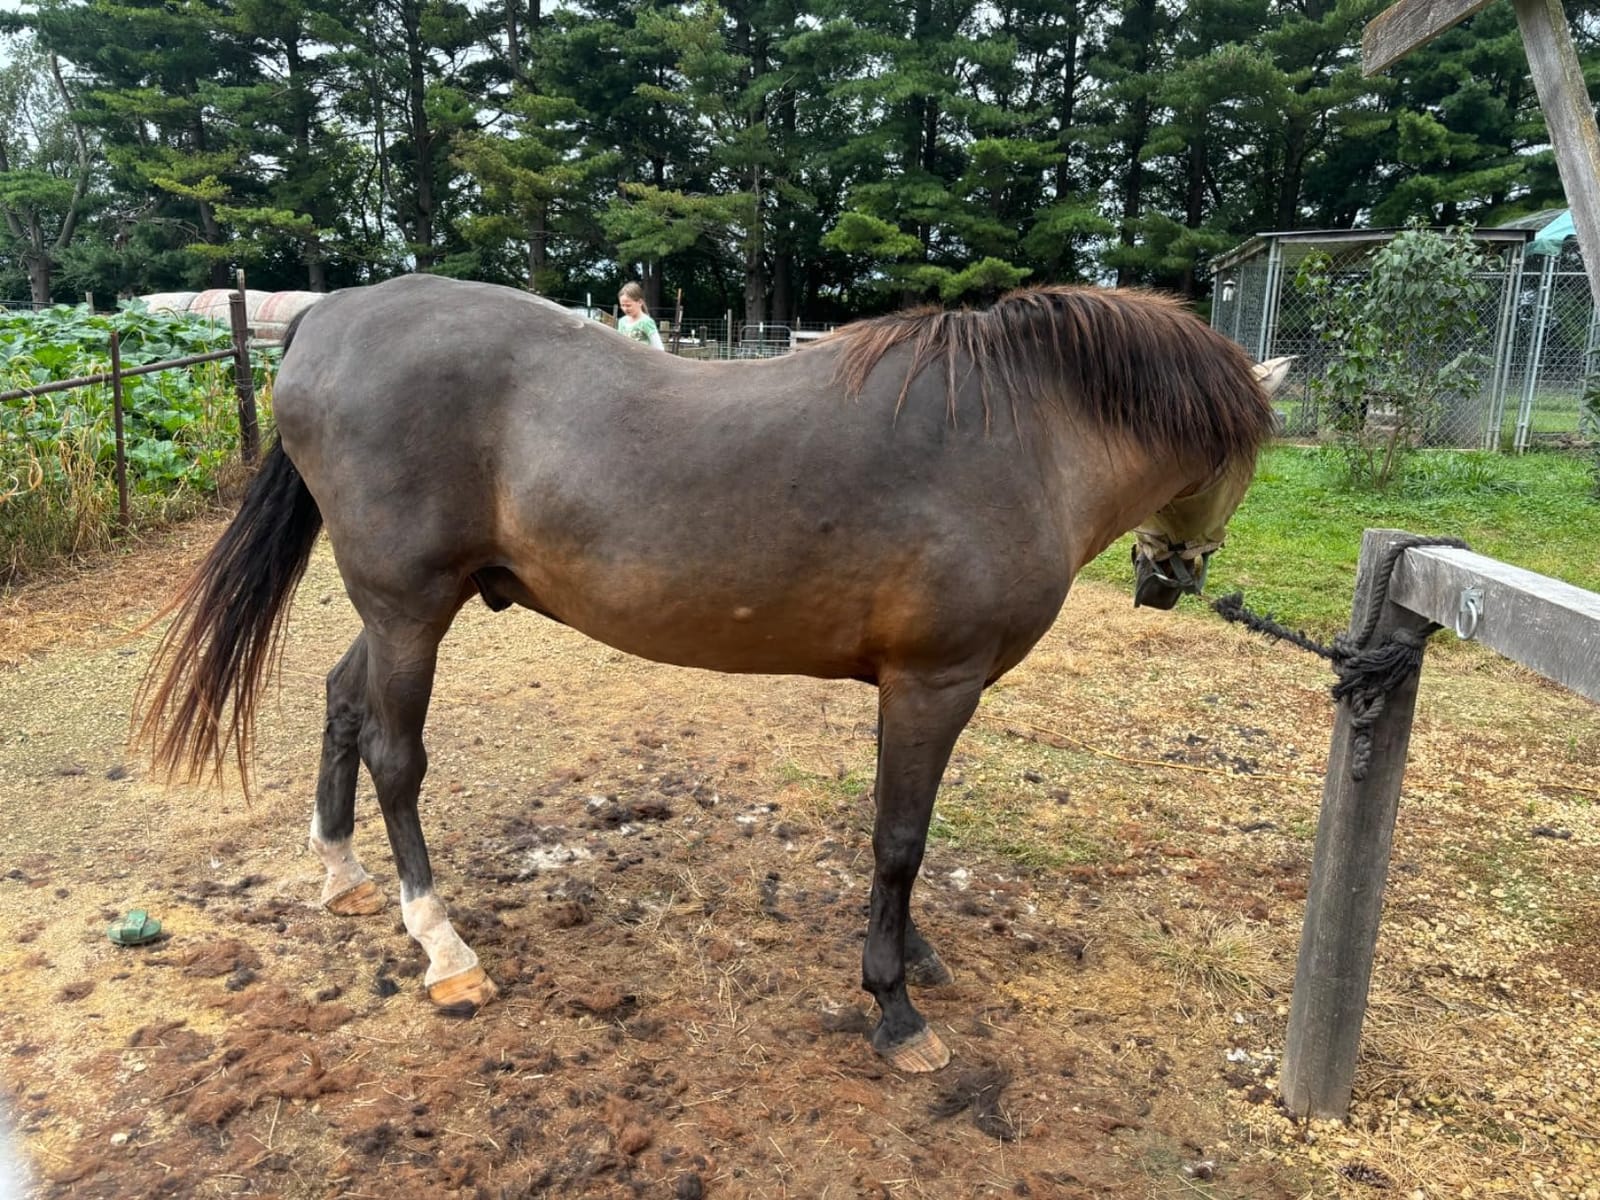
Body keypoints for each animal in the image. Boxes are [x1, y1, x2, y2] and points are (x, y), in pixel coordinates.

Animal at [137, 275, 1289, 1073]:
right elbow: (901, 841)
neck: (1023, 440)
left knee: (341, 704)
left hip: (401, 610)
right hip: (411, 607)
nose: (1172, 576)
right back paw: (446, 951)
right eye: (1246, 462)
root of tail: (326, 318)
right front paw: (894, 1008)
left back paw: (339, 873)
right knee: (396, 755)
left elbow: (903, 838)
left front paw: (914, 958)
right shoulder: (933, 684)